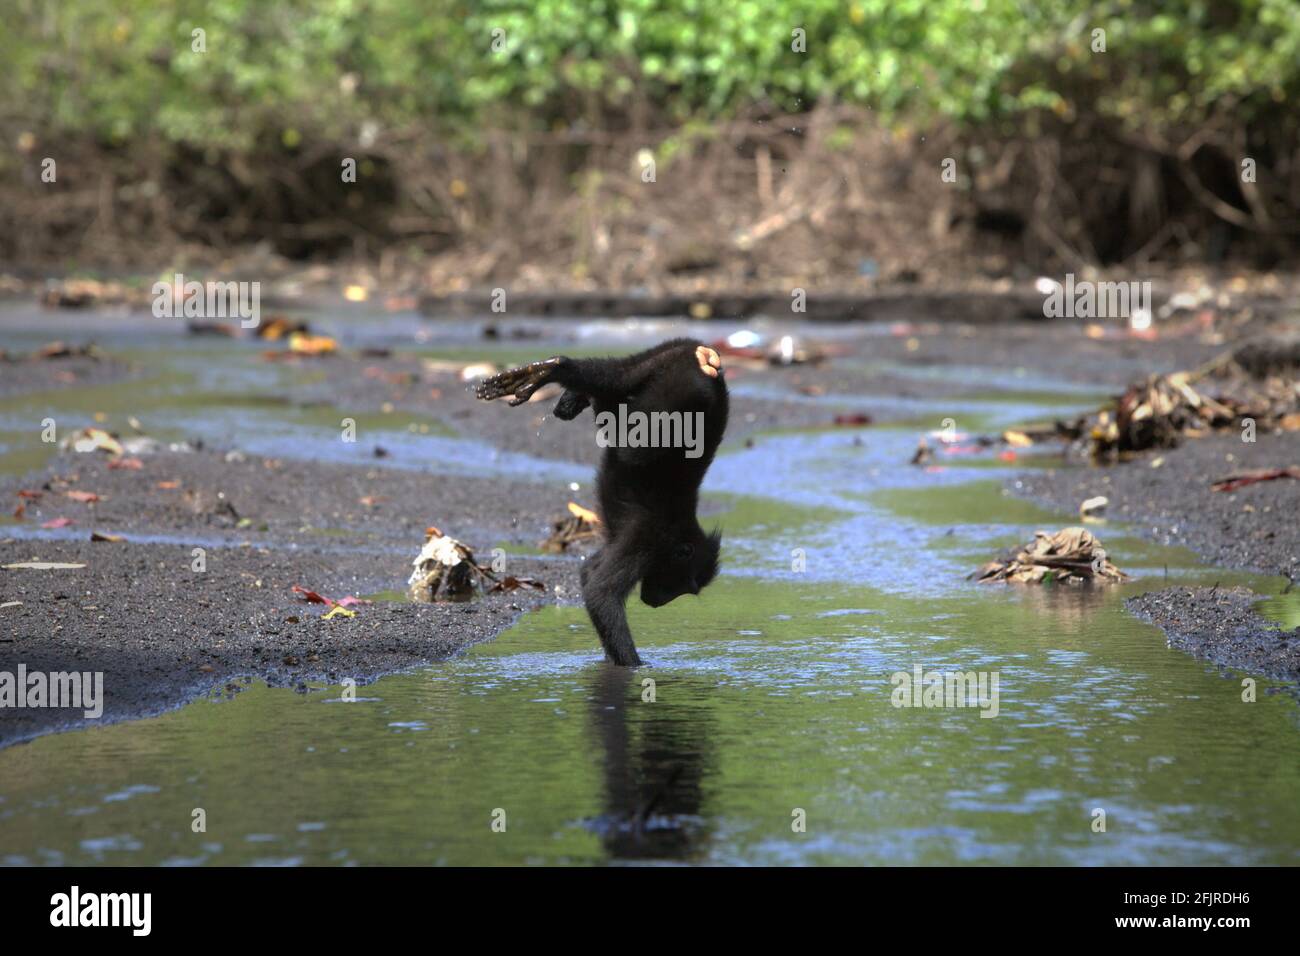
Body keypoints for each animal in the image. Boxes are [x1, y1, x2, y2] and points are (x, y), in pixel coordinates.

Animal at [475, 338, 729, 666]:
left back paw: (565, 377)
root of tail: (701, 353)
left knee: (617, 376)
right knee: (633, 447)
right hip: (683, 390)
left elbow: (589, 572)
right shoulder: (646, 539)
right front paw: (637, 667)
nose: (657, 603)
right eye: (684, 584)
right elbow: (601, 592)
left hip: (662, 358)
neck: (678, 529)